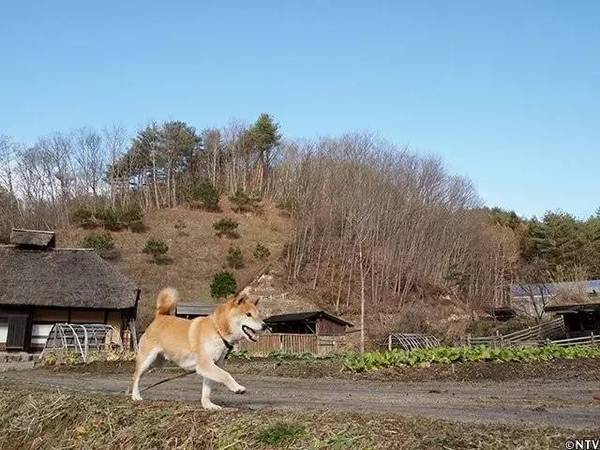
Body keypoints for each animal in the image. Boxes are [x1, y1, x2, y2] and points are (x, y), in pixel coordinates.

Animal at [132, 288, 266, 412]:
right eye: (248, 314)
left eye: (259, 315)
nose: (265, 325)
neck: (217, 330)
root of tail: (160, 316)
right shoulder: (205, 364)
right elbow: (226, 375)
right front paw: (237, 387)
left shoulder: (213, 365)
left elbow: (206, 390)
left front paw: (208, 405)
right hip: (147, 360)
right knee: (136, 376)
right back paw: (135, 395)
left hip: (158, 362)